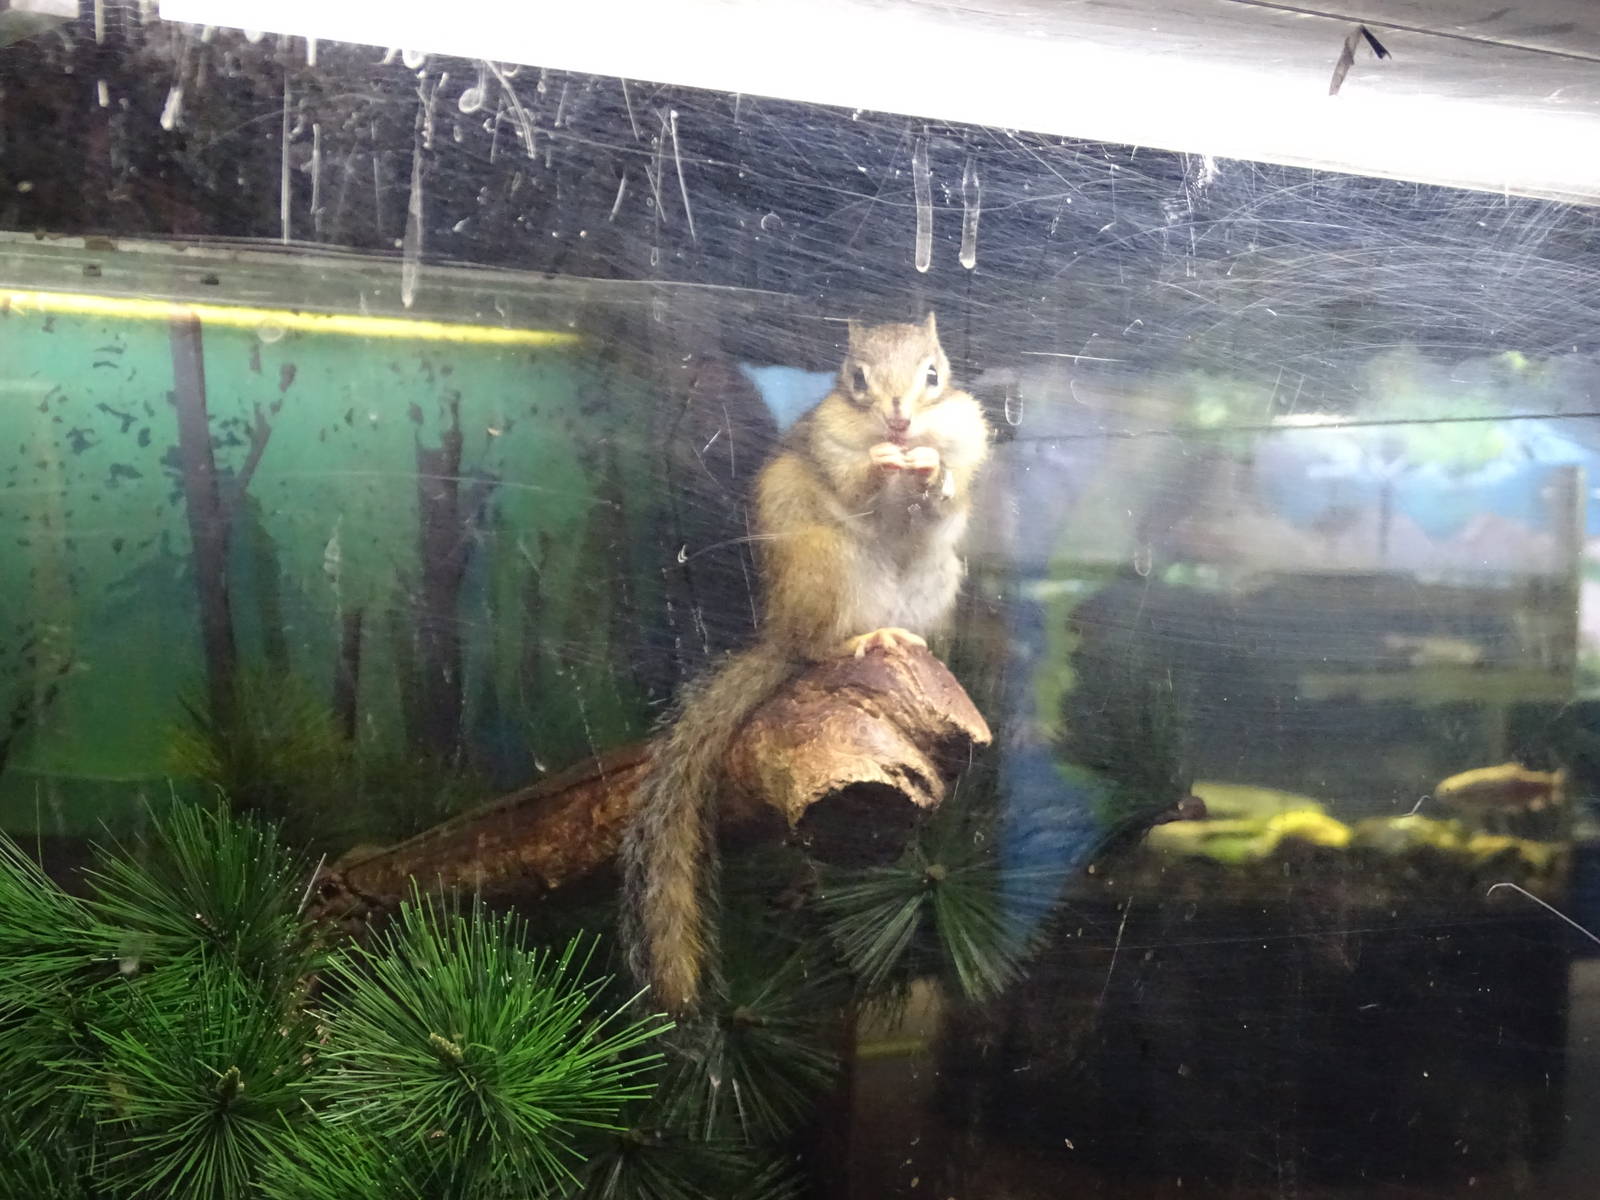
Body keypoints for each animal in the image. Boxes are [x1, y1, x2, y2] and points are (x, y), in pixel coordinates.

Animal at [618, 312, 992, 1017]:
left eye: (934, 375)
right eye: (856, 379)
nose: (899, 421)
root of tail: (781, 633)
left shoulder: (964, 438)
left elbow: (947, 491)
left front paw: (928, 469)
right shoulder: (831, 447)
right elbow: (856, 485)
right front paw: (882, 464)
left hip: (939, 579)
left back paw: (913, 640)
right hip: (825, 569)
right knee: (817, 647)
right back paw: (860, 641)